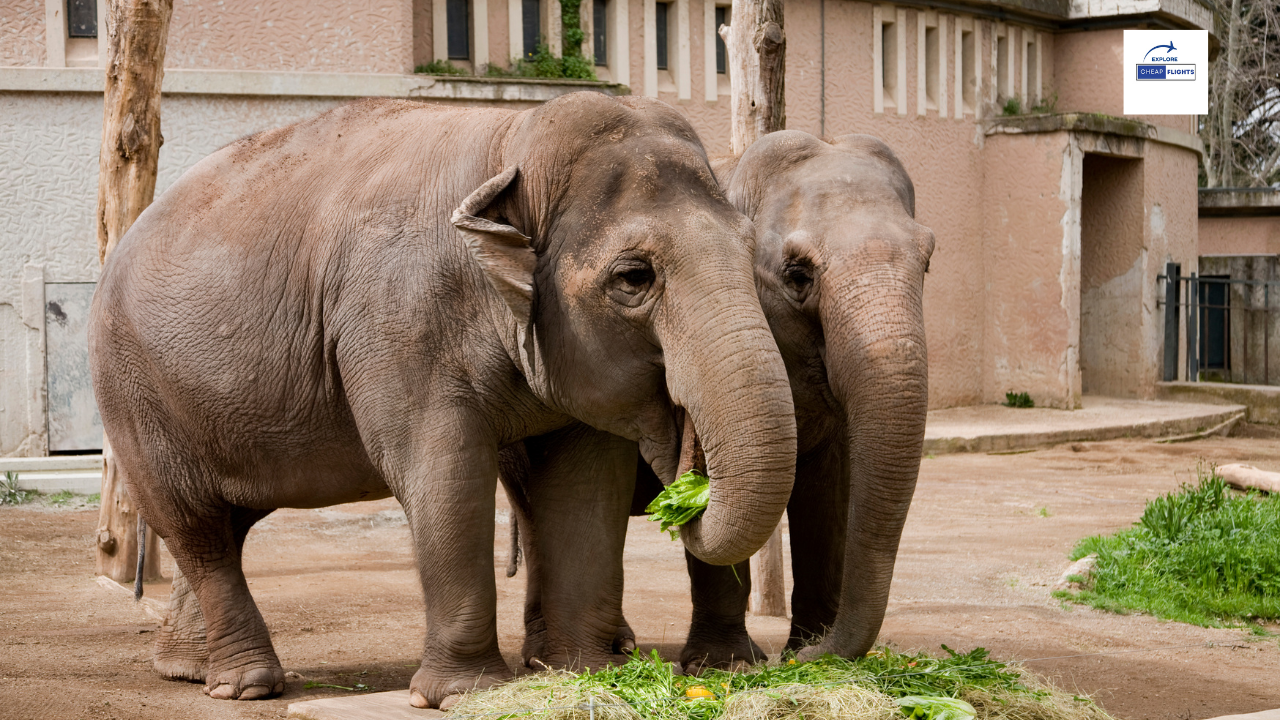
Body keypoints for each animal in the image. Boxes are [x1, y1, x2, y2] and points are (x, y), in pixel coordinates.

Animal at [87, 90, 798, 707]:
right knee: (194, 526)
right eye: (633, 277)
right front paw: (465, 693)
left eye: (749, 255)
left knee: (222, 525)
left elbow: (584, 484)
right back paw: (247, 685)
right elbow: (444, 473)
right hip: (132, 393)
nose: (686, 478)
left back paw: (190, 670)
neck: (511, 142)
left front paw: (583, 674)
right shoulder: (397, 326)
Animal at [504, 128, 936, 671]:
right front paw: (728, 665)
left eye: (929, 260)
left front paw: (808, 654)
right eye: (797, 275)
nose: (811, 653)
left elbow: (829, 494)